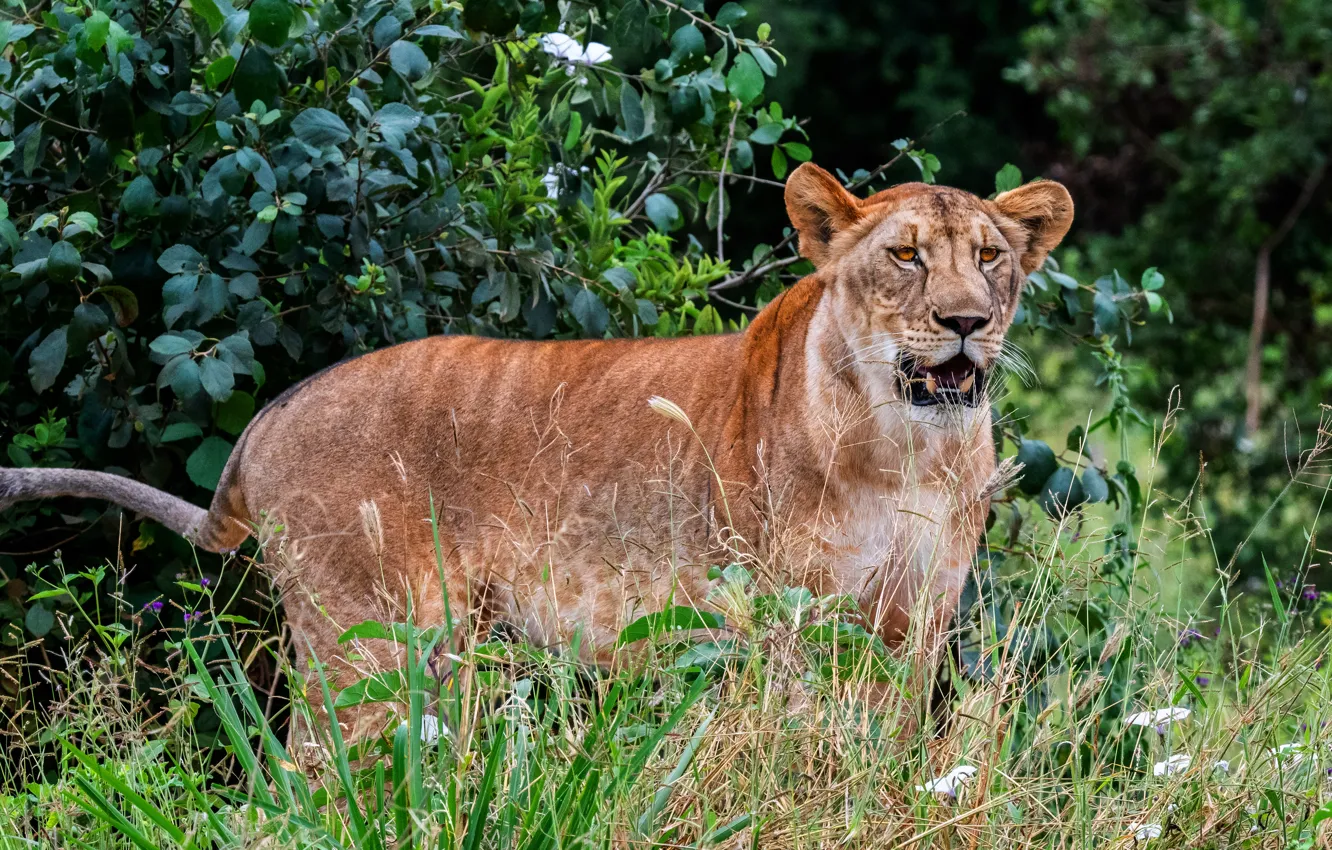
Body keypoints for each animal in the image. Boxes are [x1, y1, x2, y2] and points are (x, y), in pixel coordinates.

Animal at [1, 163, 1072, 739]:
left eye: (989, 256)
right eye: (904, 255)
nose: (967, 323)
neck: (902, 449)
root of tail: (268, 416)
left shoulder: (916, 618)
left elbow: (886, 744)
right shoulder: (787, 615)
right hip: (367, 642)